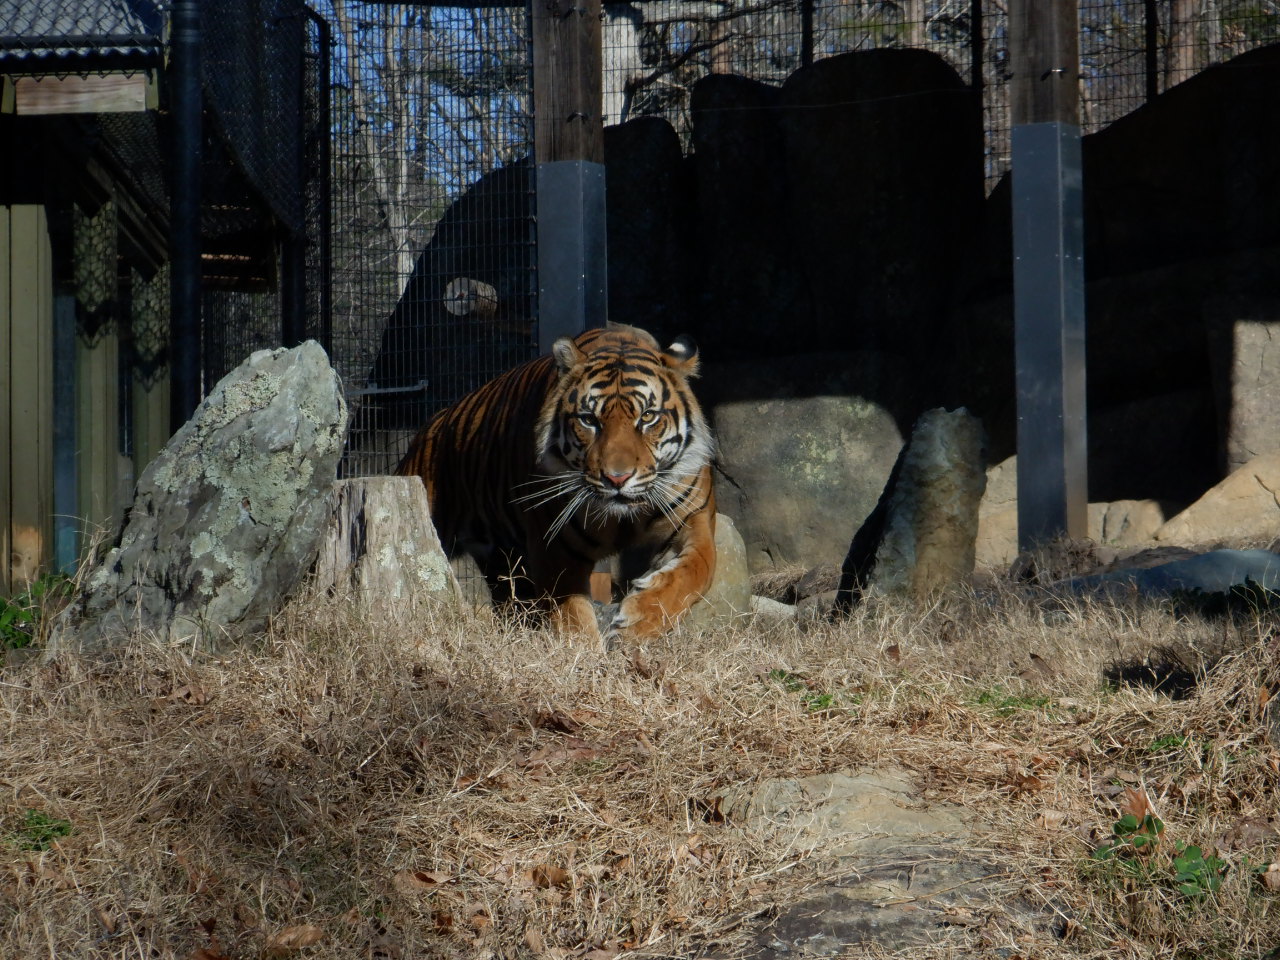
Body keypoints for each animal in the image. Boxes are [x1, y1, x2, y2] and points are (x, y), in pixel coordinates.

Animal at [395, 322, 717, 647]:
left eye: (648, 417)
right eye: (589, 420)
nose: (617, 478)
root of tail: (431, 424)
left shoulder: (694, 517)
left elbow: (700, 568)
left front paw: (639, 623)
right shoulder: (555, 544)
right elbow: (571, 613)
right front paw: (584, 651)